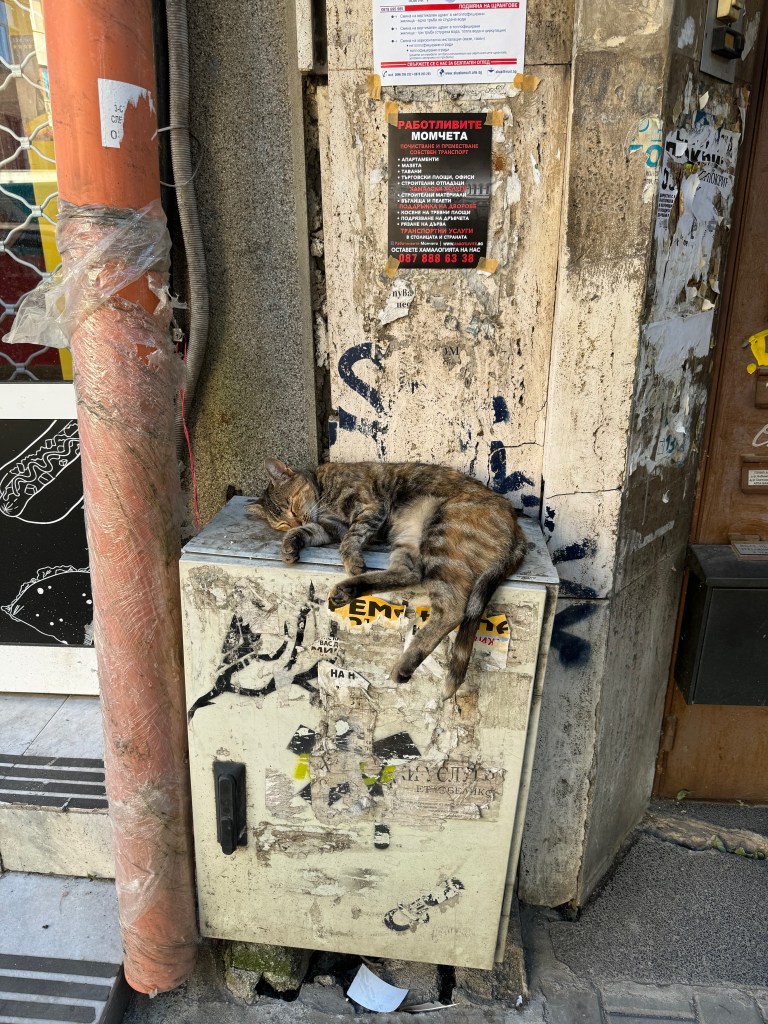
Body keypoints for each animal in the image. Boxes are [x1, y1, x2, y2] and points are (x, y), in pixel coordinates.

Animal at [248, 459, 528, 698]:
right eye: (281, 522)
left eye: (291, 503)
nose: (294, 520)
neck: (323, 487)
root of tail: (517, 528)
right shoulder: (330, 527)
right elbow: (308, 531)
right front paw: (290, 544)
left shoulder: (367, 507)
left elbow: (350, 538)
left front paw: (351, 560)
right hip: (409, 539)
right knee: (410, 574)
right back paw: (347, 591)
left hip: (441, 539)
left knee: (453, 608)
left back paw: (405, 664)